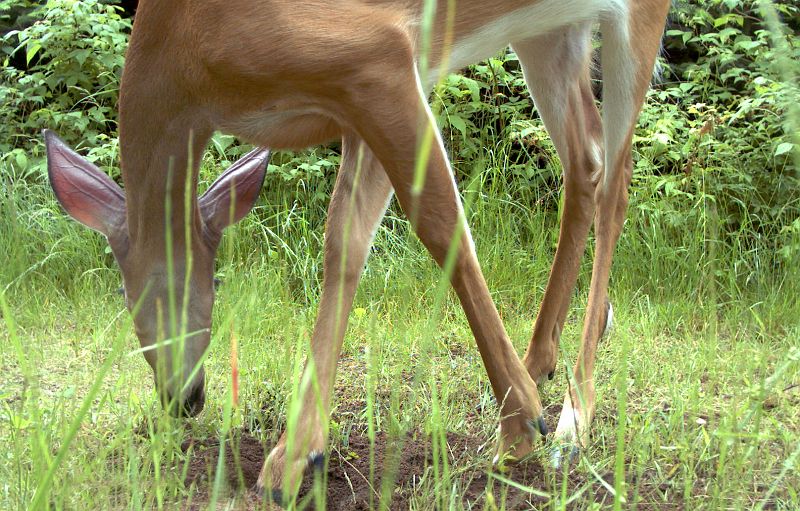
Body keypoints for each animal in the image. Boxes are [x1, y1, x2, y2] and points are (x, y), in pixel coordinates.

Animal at [43, 0, 668, 504]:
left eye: (143, 291)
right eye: (124, 295)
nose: (183, 399)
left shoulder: (373, 56)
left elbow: (440, 224)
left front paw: (521, 428)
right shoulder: (362, 89)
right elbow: (344, 241)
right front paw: (293, 459)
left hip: (634, 18)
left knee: (616, 181)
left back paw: (571, 420)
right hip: (550, 31)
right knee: (585, 161)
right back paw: (545, 357)